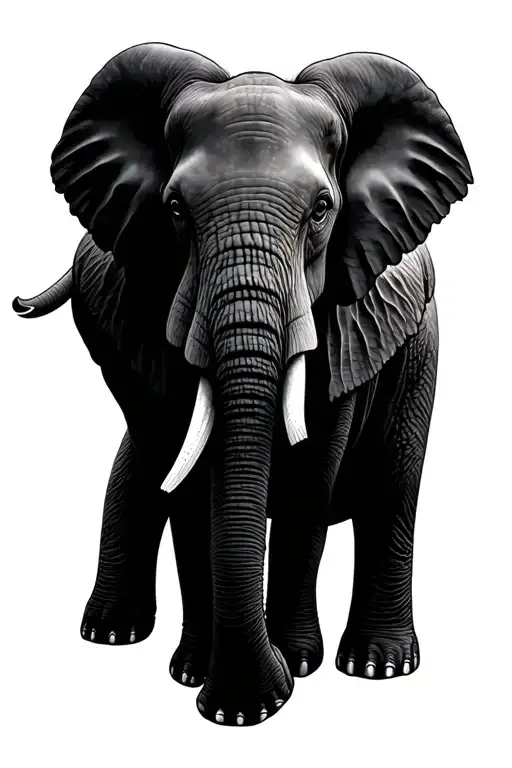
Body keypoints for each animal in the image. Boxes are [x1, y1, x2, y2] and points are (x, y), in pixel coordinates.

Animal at [13, 43, 472, 727]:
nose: (267, 684)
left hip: (420, 344)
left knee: (393, 483)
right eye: (175, 210)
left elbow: (311, 476)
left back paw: (377, 667)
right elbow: (188, 486)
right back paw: (110, 635)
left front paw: (292, 671)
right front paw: (206, 684)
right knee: (148, 459)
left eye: (322, 211)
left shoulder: (342, 323)